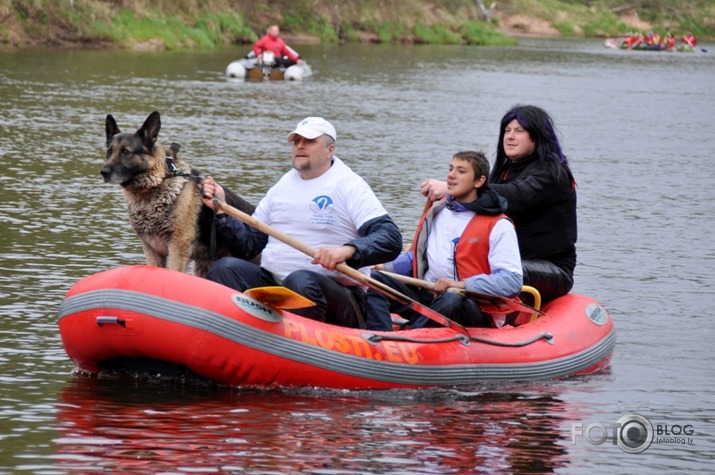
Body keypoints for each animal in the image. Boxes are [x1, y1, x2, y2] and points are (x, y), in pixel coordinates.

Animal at [100, 111, 255, 278]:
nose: (103, 172)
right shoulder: (152, 250)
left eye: (125, 152)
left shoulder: (178, 249)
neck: (158, 182)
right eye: (109, 151)